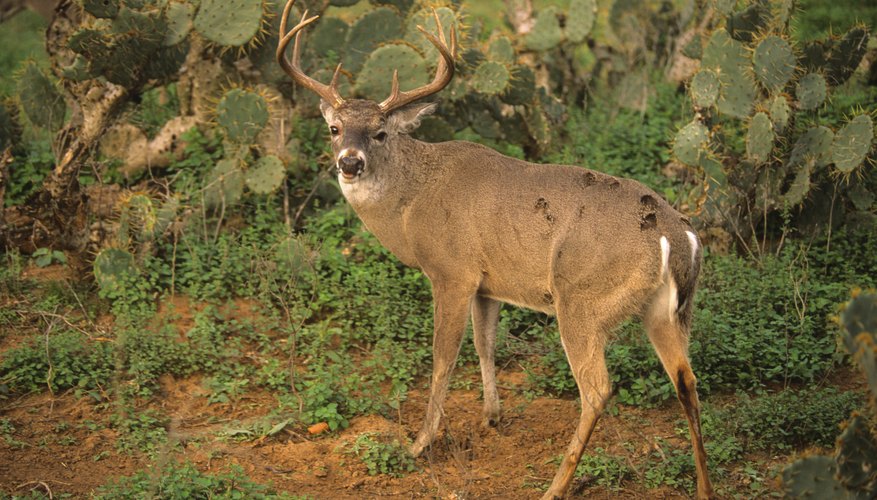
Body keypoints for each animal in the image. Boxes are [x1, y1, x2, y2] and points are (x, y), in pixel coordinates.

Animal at [276, 1, 712, 498]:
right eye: (334, 128)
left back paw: (553, 486)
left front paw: (420, 442)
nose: (350, 162)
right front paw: (491, 417)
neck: (412, 203)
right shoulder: (488, 283)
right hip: (669, 311)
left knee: (597, 389)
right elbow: (486, 345)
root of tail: (677, 236)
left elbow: (443, 356)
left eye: (380, 132)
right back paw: (703, 487)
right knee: (687, 380)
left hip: (580, 297)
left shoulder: (451, 271)